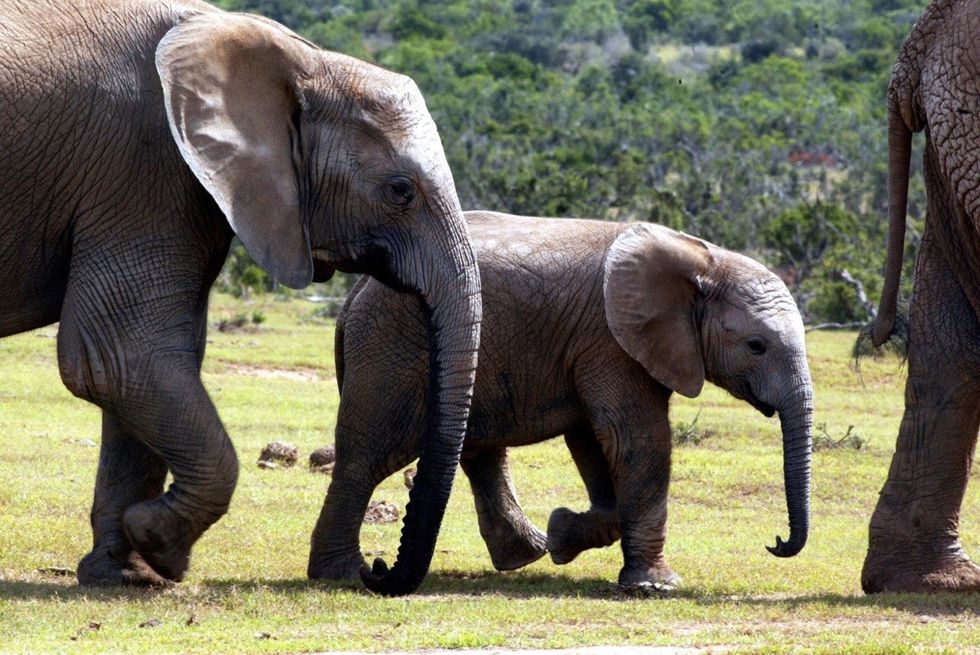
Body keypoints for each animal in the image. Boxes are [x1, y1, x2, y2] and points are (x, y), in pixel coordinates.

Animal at [0, 0, 482, 597]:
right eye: (400, 191)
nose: (377, 569)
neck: (302, 61)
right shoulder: (145, 167)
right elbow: (121, 356)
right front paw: (158, 543)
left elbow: (145, 363)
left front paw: (128, 571)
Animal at [310, 211, 813, 589]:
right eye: (756, 346)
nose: (775, 542)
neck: (704, 260)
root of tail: (354, 296)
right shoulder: (610, 341)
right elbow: (635, 439)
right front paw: (656, 586)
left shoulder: (599, 347)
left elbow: (595, 441)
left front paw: (563, 536)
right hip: (391, 348)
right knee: (369, 456)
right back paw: (343, 575)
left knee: (478, 452)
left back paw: (526, 554)